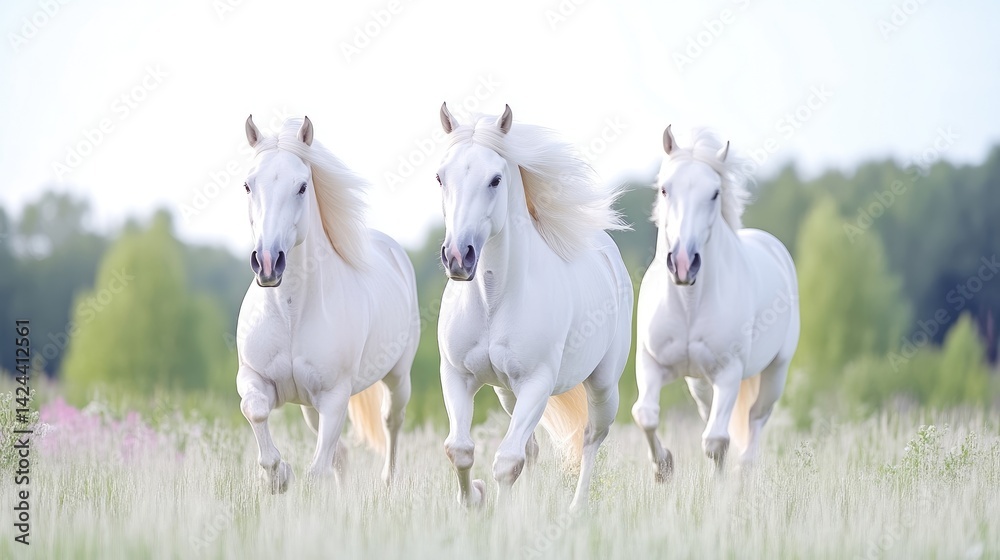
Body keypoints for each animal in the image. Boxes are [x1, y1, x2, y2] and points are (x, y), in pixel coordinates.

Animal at [235, 115, 419, 493]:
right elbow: (255, 410)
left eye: (302, 187)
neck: (291, 313)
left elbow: (317, 471)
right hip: (308, 405)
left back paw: (388, 482)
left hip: (397, 377)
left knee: (391, 422)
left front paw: (285, 478)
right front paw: (276, 474)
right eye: (248, 185)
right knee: (342, 455)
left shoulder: (335, 397)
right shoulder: (253, 377)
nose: (268, 262)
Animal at [434, 103, 633, 511]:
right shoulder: (458, 376)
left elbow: (507, 461)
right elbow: (460, 449)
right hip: (507, 393)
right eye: (440, 177)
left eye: (495, 179)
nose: (459, 257)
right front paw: (473, 500)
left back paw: (575, 510)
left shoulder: (537, 383)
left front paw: (502, 513)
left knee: (590, 438)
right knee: (532, 448)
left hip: (602, 384)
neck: (493, 301)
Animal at [632, 126, 799, 479]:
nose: (683, 264)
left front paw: (718, 486)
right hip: (699, 384)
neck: (688, 304)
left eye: (714, 194)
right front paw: (663, 467)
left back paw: (743, 473)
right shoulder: (652, 364)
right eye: (665, 189)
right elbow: (646, 414)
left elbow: (716, 441)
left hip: (775, 373)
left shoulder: (728, 373)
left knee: (754, 421)